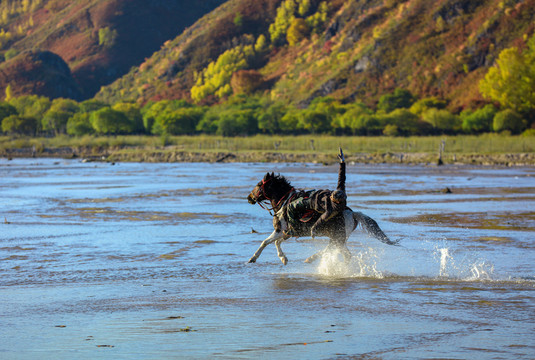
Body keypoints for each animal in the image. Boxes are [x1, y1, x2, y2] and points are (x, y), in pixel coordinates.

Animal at [247, 172, 398, 264]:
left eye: (258, 185)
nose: (249, 198)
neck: (284, 202)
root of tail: (352, 214)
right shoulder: (287, 233)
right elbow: (276, 243)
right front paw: (283, 259)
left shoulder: (279, 230)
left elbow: (265, 242)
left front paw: (253, 258)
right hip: (339, 238)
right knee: (341, 253)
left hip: (338, 237)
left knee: (334, 250)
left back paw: (313, 259)